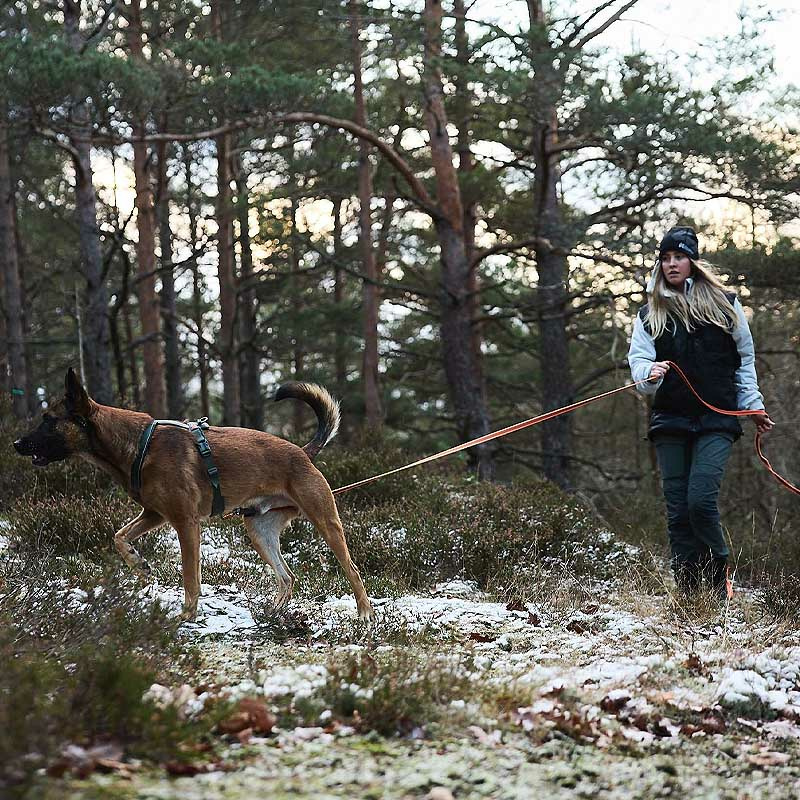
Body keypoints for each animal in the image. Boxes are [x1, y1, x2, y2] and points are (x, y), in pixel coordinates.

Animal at [13, 368, 376, 620]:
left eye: (49, 420)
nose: (16, 443)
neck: (135, 444)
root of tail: (303, 452)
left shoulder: (186, 523)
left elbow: (190, 578)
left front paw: (186, 615)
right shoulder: (154, 514)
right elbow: (119, 536)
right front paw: (138, 563)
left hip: (326, 523)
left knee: (353, 570)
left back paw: (364, 615)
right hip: (259, 531)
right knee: (287, 577)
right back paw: (273, 612)